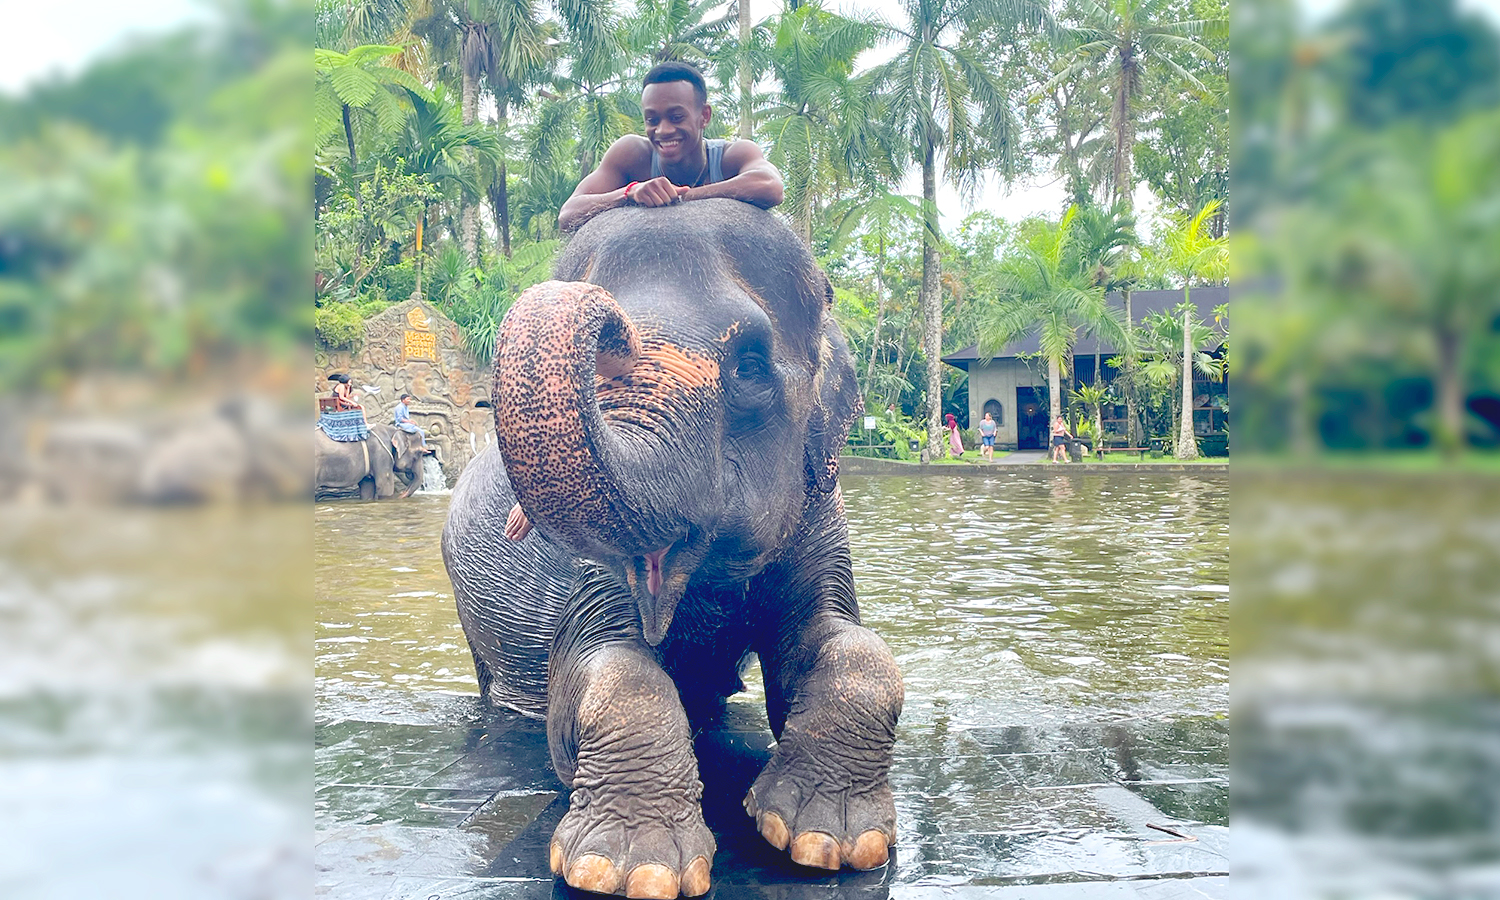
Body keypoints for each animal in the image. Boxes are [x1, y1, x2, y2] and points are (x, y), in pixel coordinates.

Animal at [444, 202, 900, 900]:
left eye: (749, 365)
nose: (609, 323)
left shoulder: (821, 509)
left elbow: (841, 640)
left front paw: (830, 840)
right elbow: (601, 666)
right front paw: (630, 870)